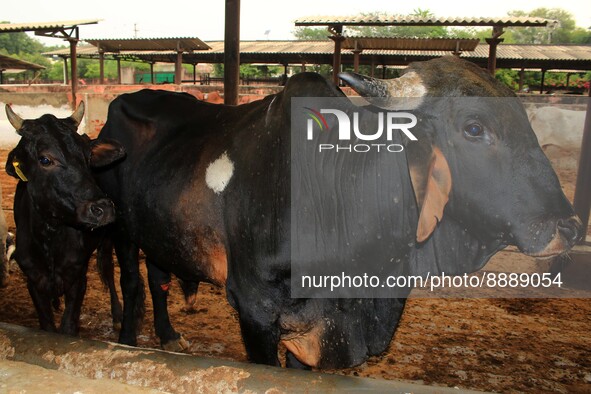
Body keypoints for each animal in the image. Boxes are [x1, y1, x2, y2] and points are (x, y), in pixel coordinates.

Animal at [5, 104, 126, 336]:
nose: (103, 208)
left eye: (88, 156)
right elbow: (47, 326)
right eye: (45, 159)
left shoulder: (77, 277)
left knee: (107, 269)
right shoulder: (33, 281)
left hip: (108, 238)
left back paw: (117, 316)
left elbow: (68, 327)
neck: (50, 234)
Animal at [97, 56, 584, 370]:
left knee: (158, 278)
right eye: (474, 127)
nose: (570, 226)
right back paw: (125, 343)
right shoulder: (254, 308)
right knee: (133, 283)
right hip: (118, 228)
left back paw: (167, 335)